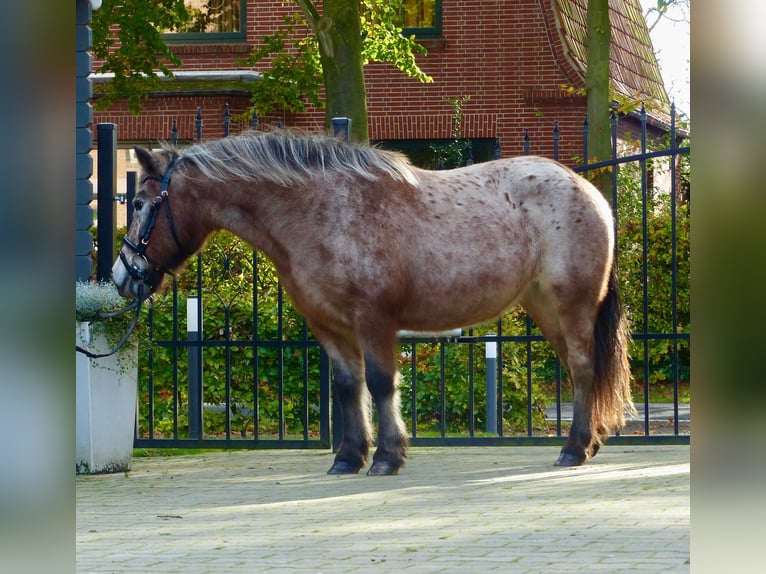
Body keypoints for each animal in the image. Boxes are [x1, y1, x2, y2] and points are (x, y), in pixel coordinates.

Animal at [109, 130, 636, 476]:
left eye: (139, 204)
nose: (121, 276)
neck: (320, 211)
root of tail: (588, 191)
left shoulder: (374, 321)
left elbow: (381, 383)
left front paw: (387, 456)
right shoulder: (329, 325)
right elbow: (348, 387)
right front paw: (348, 457)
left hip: (571, 306)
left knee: (584, 369)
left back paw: (573, 449)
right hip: (545, 309)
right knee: (577, 369)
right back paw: (586, 444)